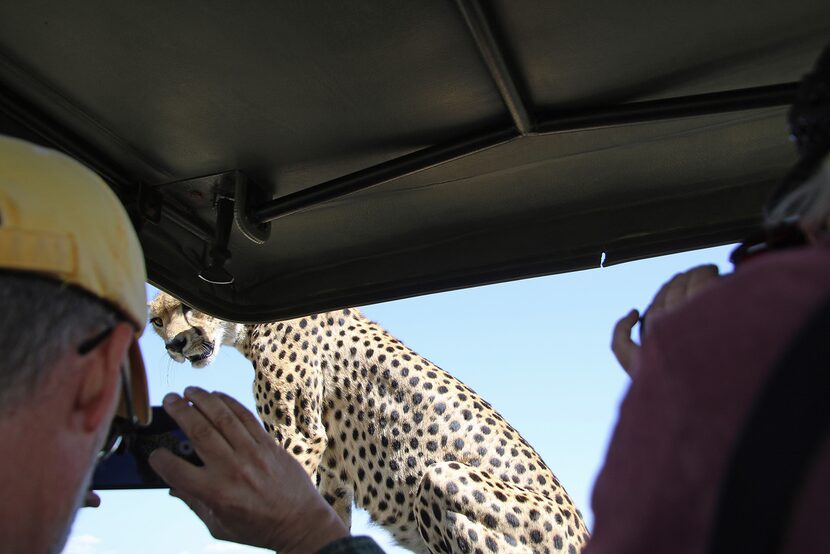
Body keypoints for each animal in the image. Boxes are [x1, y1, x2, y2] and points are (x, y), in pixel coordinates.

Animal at [151, 292, 592, 548]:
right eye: (157, 320)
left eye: (187, 307)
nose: (175, 344)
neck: (250, 325)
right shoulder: (330, 471)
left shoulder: (298, 437)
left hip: (443, 476)